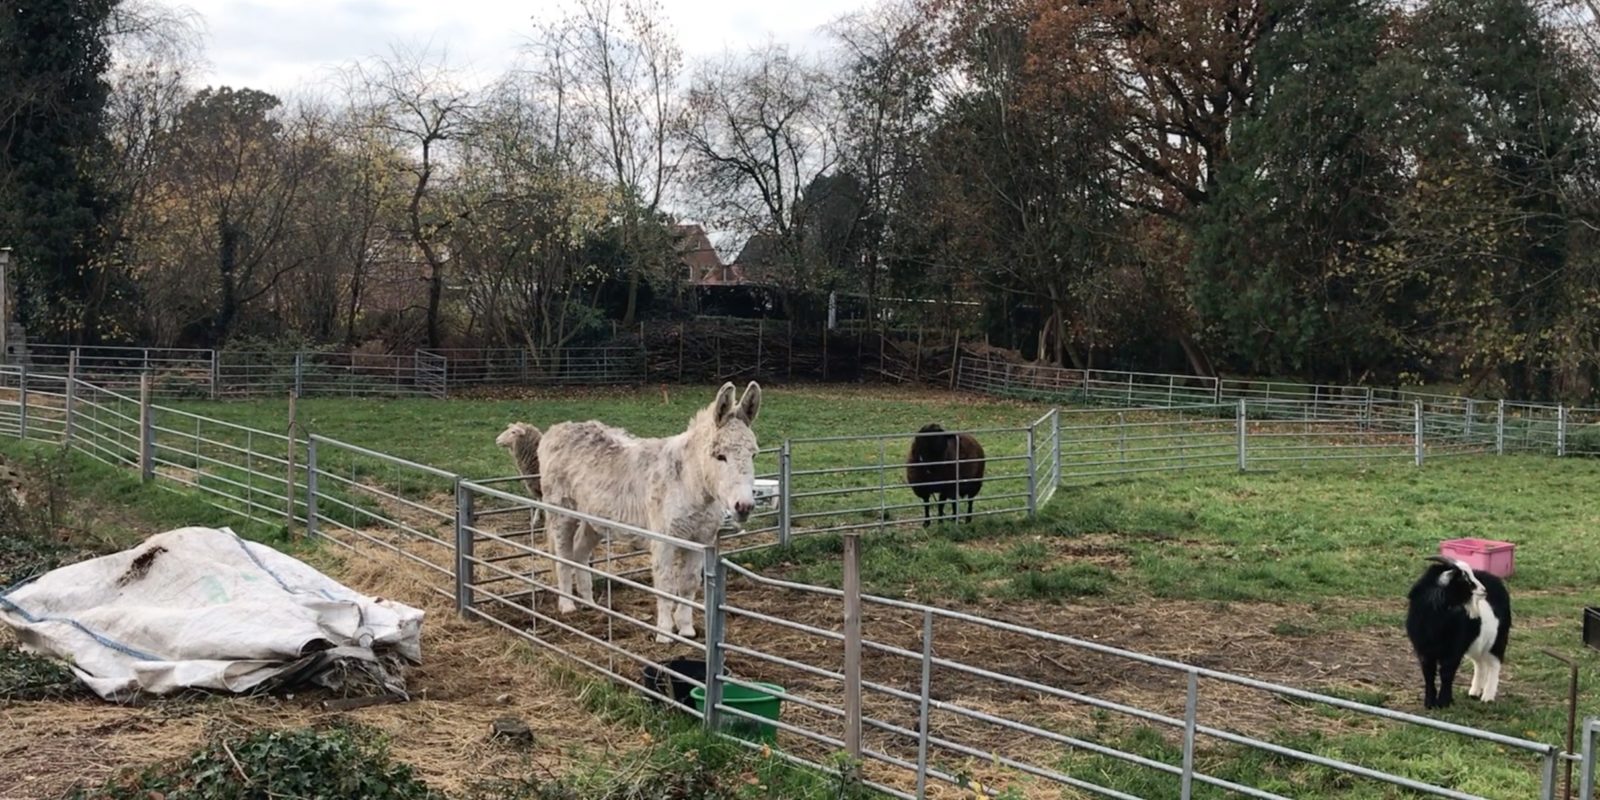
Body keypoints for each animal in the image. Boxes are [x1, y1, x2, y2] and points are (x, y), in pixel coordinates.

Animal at [1401, 553, 1510, 710]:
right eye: (1464, 579)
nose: (1483, 590)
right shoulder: (1424, 651)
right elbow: (1428, 674)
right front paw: (1429, 702)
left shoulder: (1453, 650)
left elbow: (1447, 673)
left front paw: (1444, 702)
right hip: (1477, 643)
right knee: (1480, 663)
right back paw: (1474, 692)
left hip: (1498, 638)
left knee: (1495, 663)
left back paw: (1488, 697)